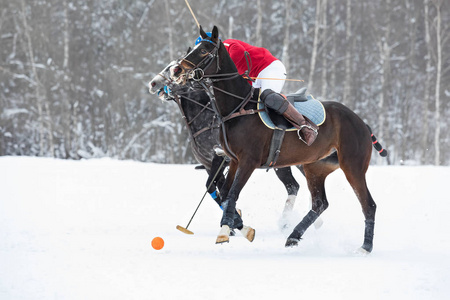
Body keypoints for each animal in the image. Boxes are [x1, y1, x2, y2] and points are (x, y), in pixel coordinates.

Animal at [149, 61, 322, 239]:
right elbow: (216, 189)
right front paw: (234, 223)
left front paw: (237, 224)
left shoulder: (220, 159)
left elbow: (216, 187)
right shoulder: (210, 164)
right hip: (280, 162)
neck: (207, 119)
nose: (153, 84)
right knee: (293, 185)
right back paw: (290, 222)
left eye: (175, 69)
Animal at [171, 25, 384, 253]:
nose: (177, 71)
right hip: (315, 167)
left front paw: (225, 233)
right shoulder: (234, 160)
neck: (237, 108)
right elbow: (226, 193)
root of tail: (362, 122)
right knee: (320, 203)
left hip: (352, 165)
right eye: (193, 48)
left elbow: (232, 193)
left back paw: (365, 247)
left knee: (368, 204)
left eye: (203, 50)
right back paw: (293, 236)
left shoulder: (248, 161)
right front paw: (236, 229)